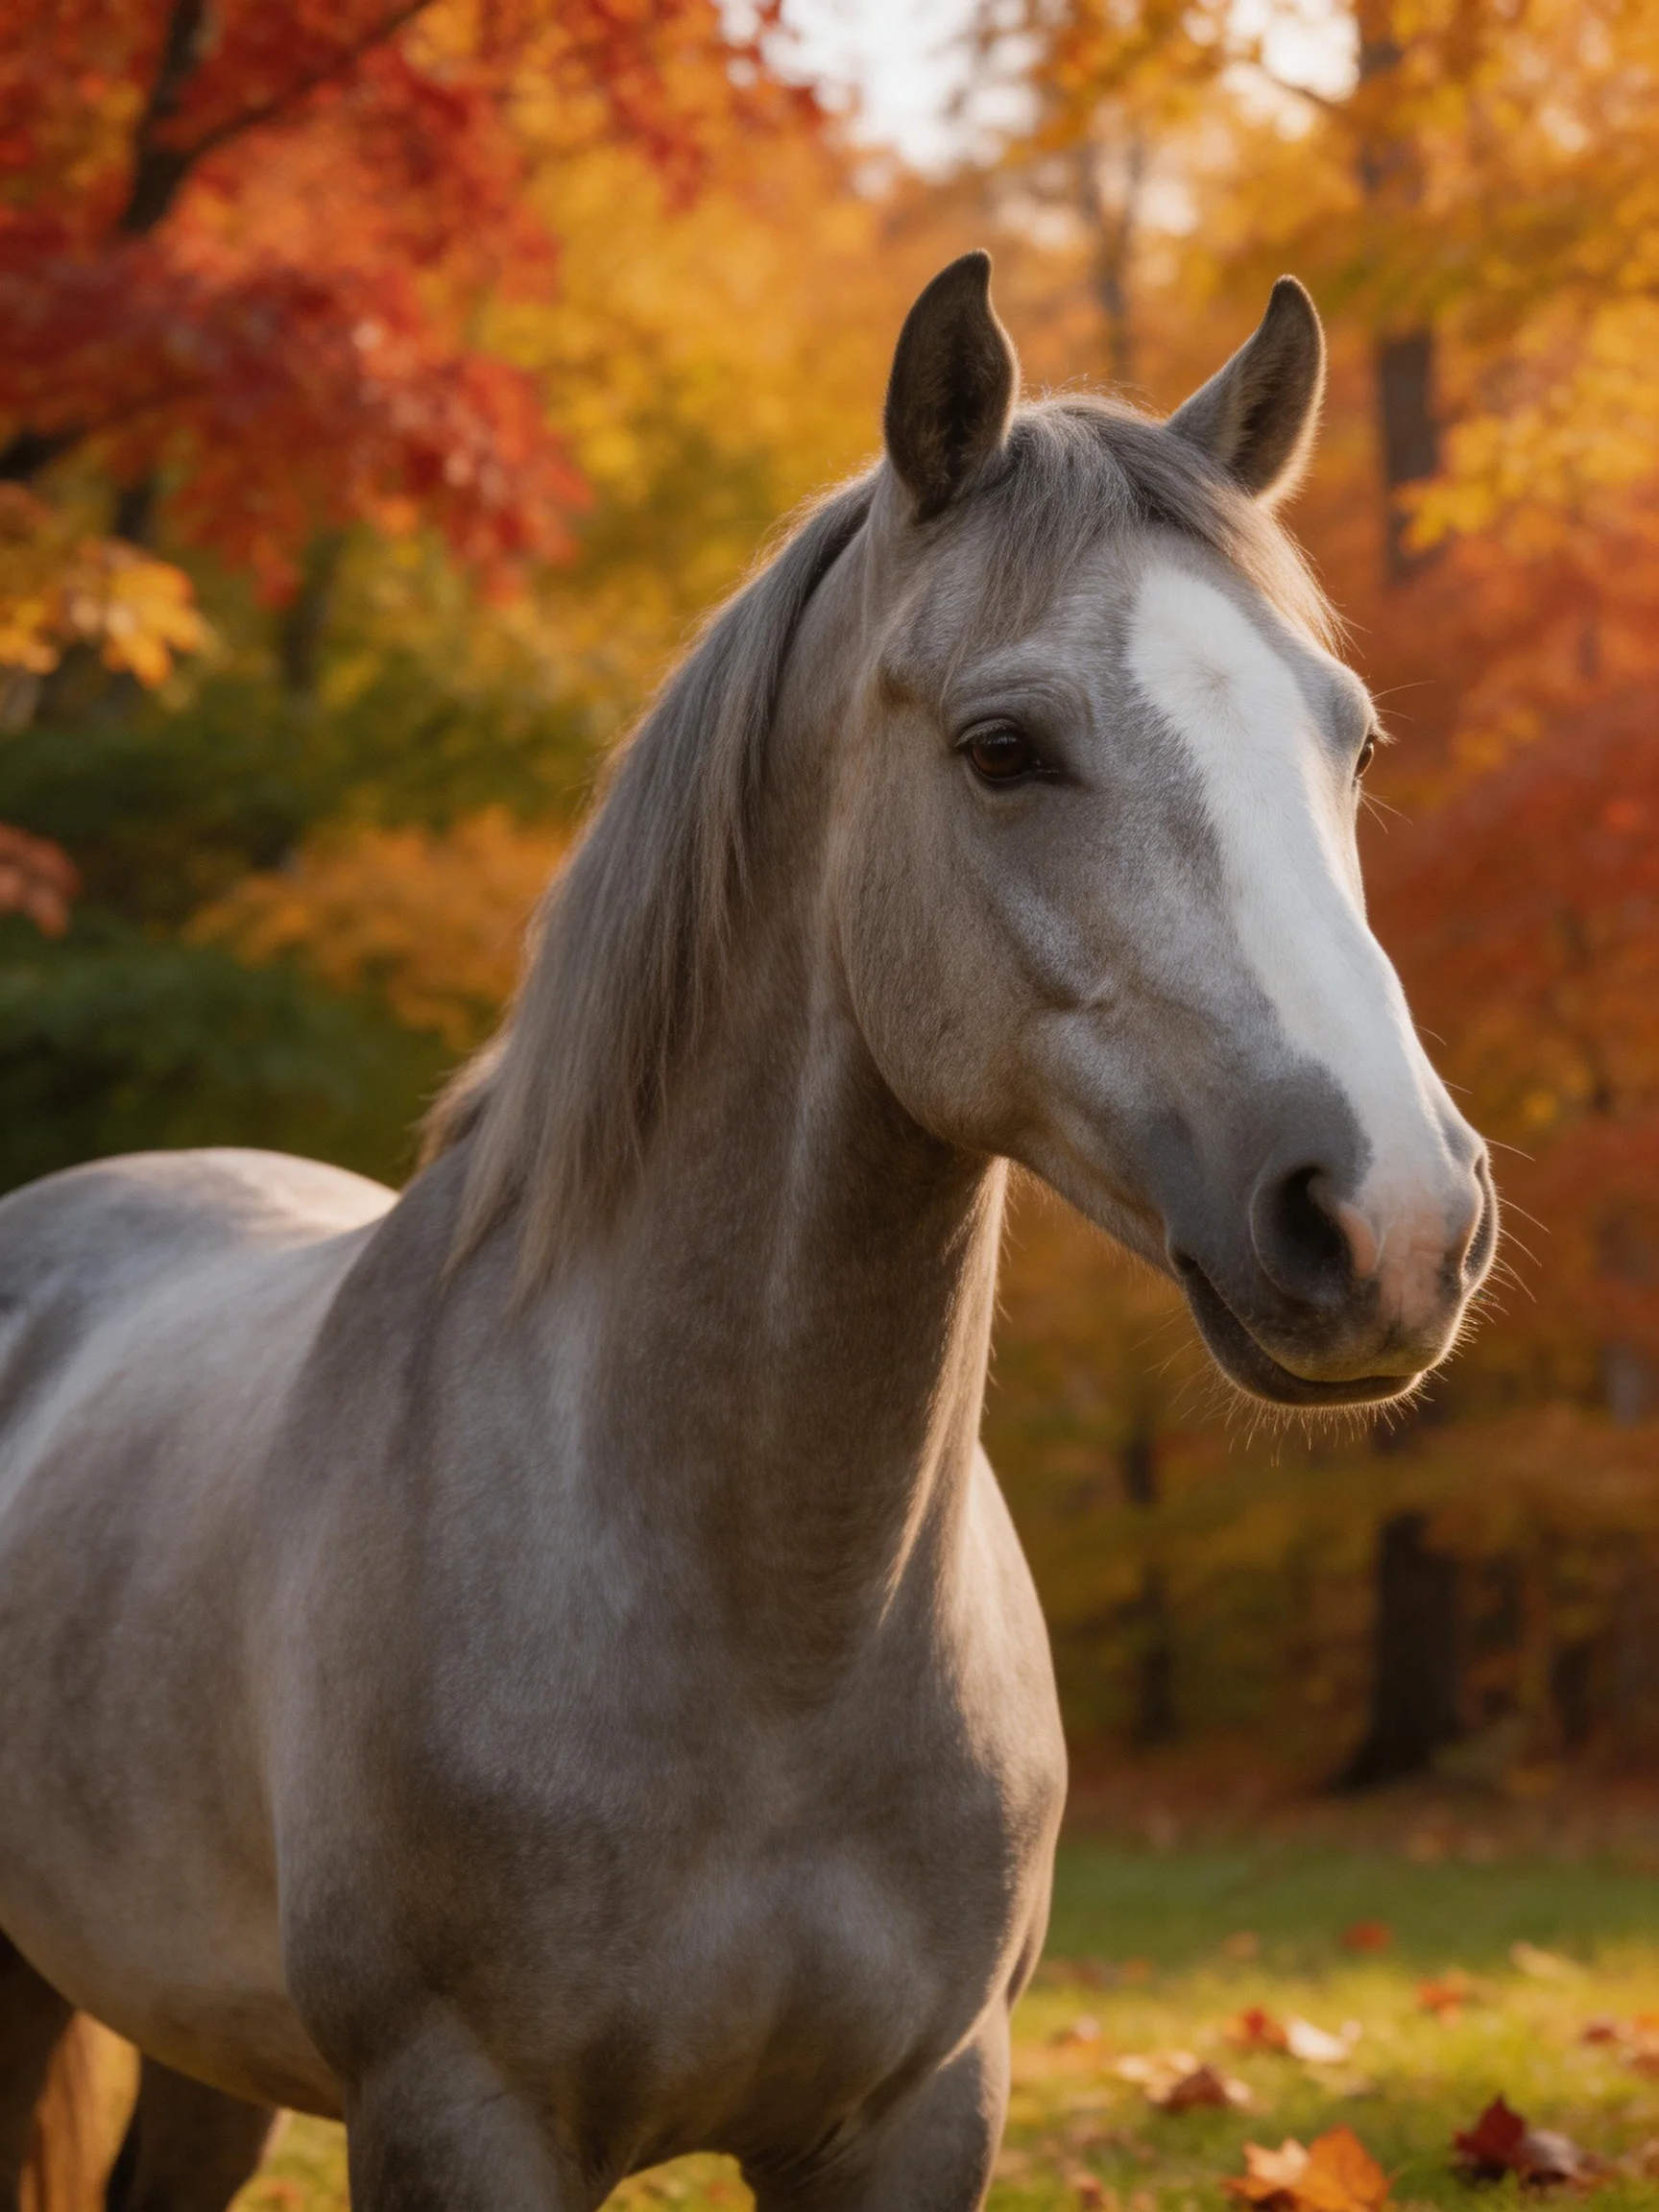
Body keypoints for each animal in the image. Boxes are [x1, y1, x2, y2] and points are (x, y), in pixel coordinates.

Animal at [0, 253, 1494, 2212]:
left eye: (1350, 739)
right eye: (1002, 748)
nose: (1391, 1218)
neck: (766, 1630)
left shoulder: (918, 2112)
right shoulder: (459, 2115)